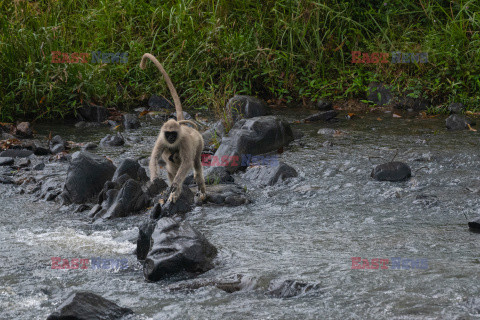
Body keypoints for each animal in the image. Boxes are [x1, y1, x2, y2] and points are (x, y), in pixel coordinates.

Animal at [140, 52, 205, 202]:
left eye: (173, 134)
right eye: (168, 134)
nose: (170, 138)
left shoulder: (184, 141)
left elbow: (187, 162)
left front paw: (175, 185)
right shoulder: (161, 139)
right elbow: (154, 158)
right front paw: (155, 180)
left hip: (200, 142)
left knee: (195, 165)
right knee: (170, 164)